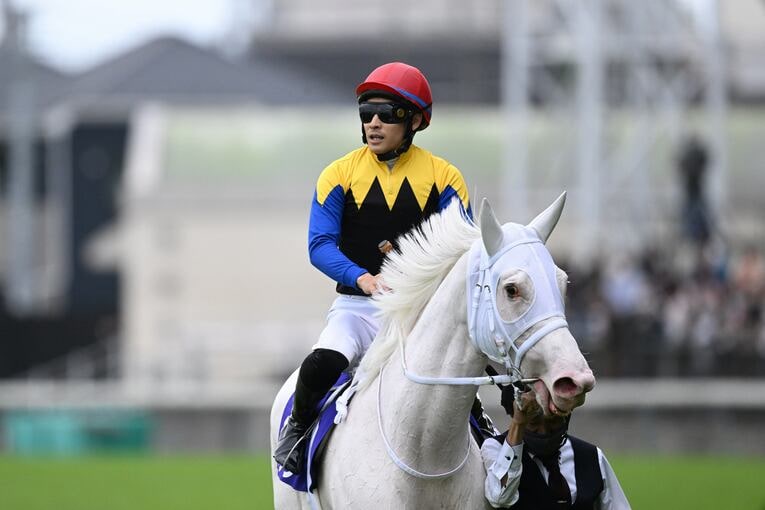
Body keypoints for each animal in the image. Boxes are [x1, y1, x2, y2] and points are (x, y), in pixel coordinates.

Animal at [270, 192, 595, 509]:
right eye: (512, 289)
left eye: (563, 282)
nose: (574, 380)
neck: (424, 455)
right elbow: (320, 241)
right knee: (324, 360)